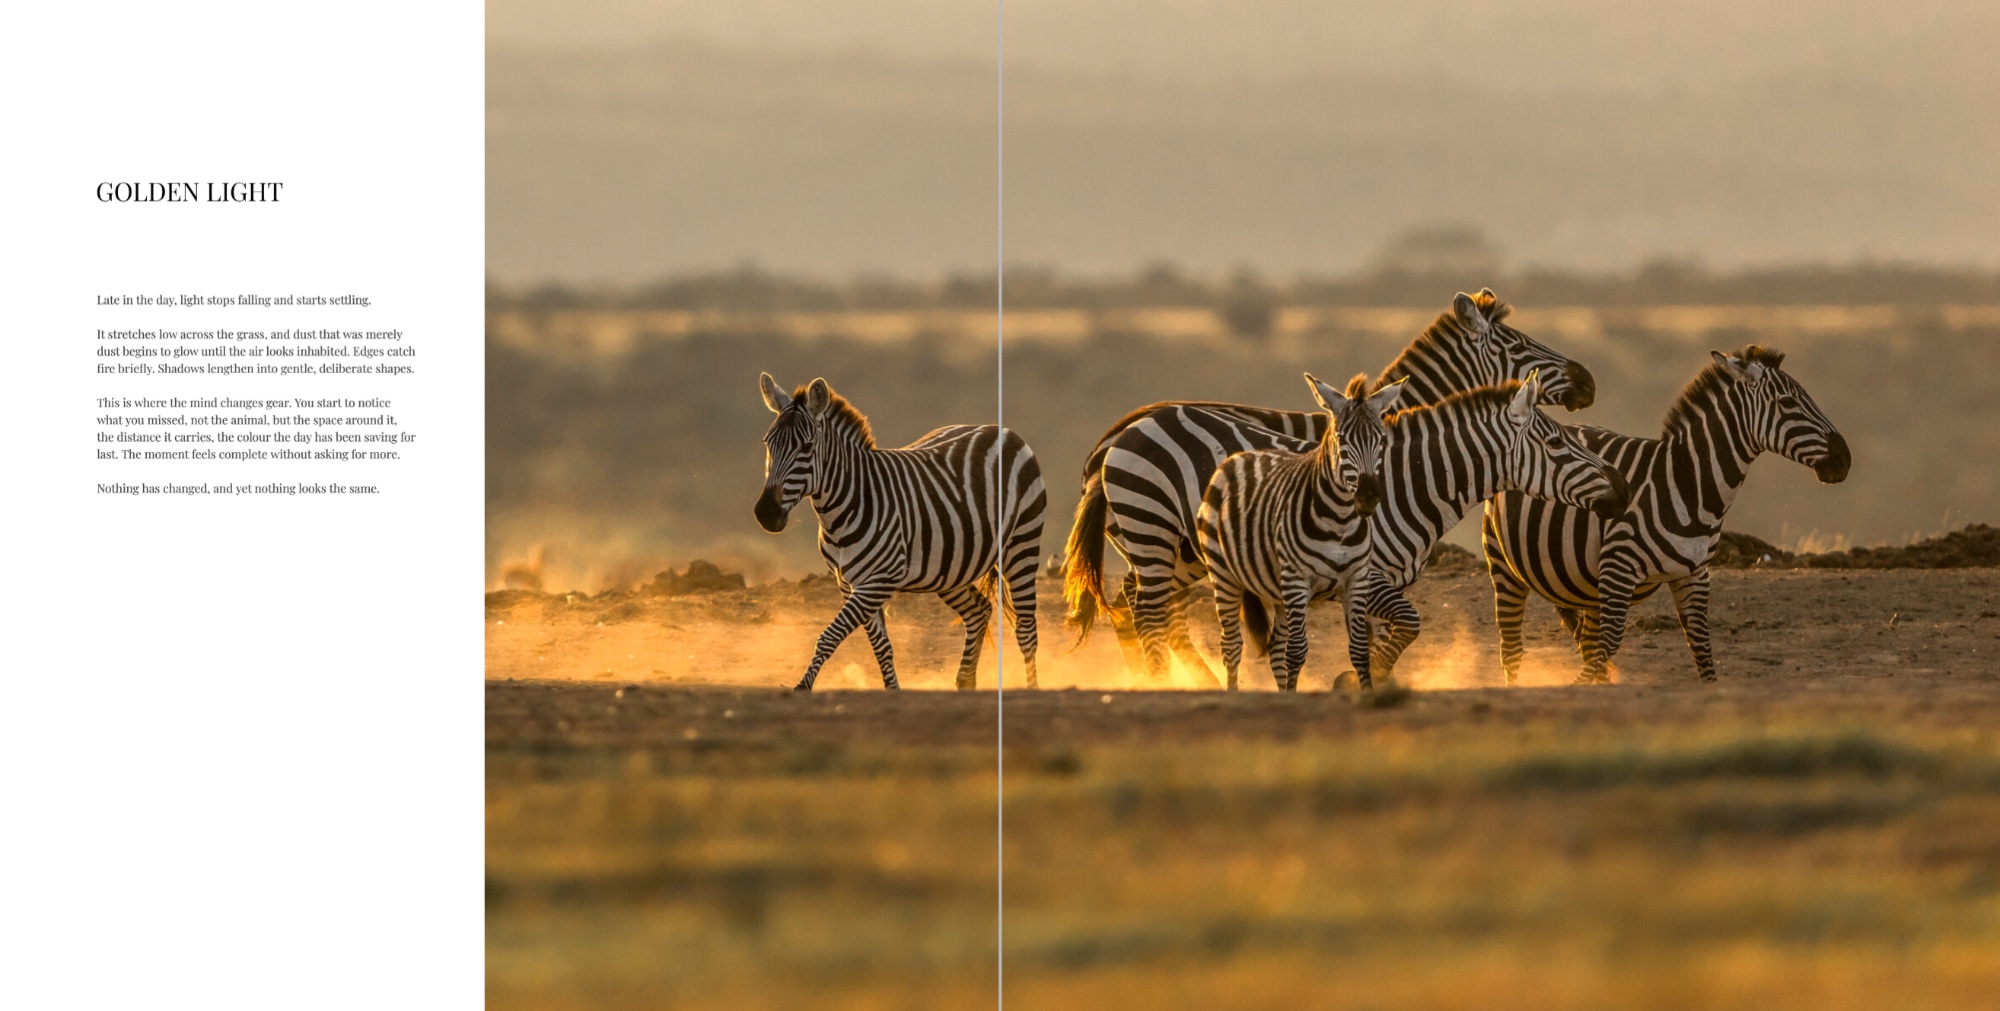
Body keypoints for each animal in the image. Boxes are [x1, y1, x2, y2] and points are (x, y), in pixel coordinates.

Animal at [754, 373, 1047, 691]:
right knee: (979, 611)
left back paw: (1032, 689)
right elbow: (881, 646)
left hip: (1022, 543)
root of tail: (1000, 429)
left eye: (806, 447)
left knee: (1026, 631)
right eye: (768, 444)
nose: (765, 513)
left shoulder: (878, 580)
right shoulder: (849, 584)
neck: (841, 511)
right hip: (950, 567)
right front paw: (893, 690)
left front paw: (803, 686)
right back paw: (965, 682)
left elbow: (830, 635)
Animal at [1196, 374, 1403, 691]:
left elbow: (1358, 649)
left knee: (1276, 648)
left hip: (1277, 588)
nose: (1368, 497)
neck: (1340, 522)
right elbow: (1297, 651)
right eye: (1341, 439)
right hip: (1223, 575)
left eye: (1381, 440)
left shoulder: (1356, 579)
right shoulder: (1298, 579)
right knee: (1231, 645)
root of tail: (1237, 457)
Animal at [1481, 346, 1850, 684]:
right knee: (1513, 648)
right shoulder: (1619, 565)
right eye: (1788, 403)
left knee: (1584, 641)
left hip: (1584, 583)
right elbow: (1609, 644)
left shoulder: (1695, 574)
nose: (1844, 460)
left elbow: (1701, 648)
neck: (1690, 486)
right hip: (1503, 563)